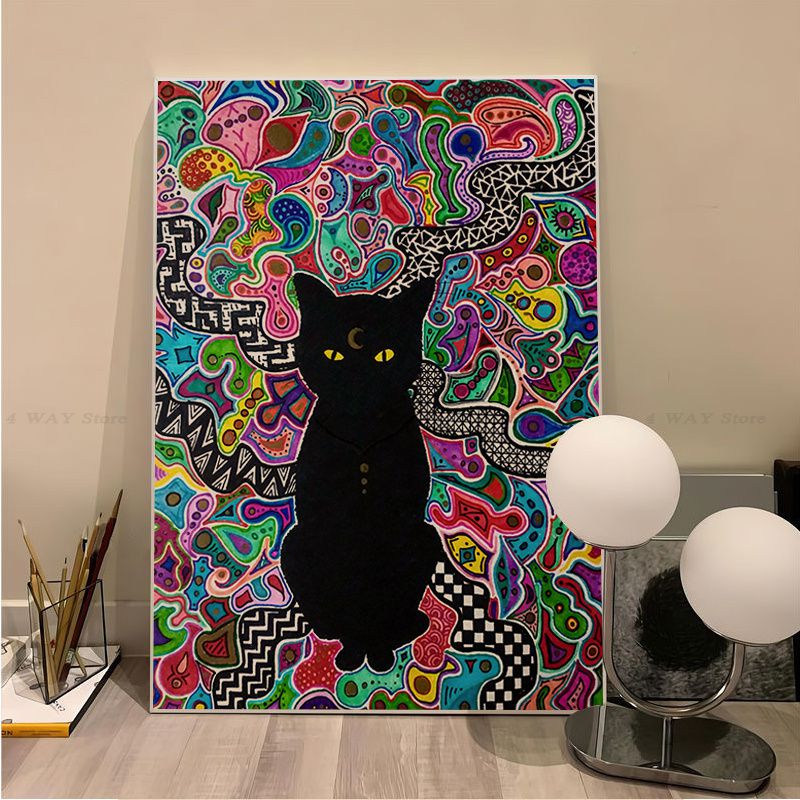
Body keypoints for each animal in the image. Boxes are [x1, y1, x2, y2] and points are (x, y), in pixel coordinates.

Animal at [281, 274, 442, 673]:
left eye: (384, 356)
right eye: (333, 356)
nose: (358, 380)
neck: (362, 428)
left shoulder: (397, 526)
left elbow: (379, 599)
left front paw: (379, 655)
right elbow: (350, 596)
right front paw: (355, 653)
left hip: (426, 536)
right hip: (294, 545)